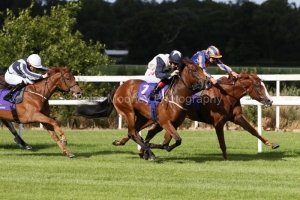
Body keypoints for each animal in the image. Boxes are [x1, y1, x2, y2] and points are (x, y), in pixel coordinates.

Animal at [77, 57, 209, 159]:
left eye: (202, 69)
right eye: (194, 70)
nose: (207, 82)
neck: (175, 95)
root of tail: (120, 87)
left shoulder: (172, 124)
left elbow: (167, 144)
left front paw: (150, 147)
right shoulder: (165, 122)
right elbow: (176, 140)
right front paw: (149, 148)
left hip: (144, 117)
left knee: (133, 131)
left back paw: (124, 144)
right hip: (128, 112)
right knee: (133, 132)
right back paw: (150, 153)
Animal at [111, 72, 280, 161]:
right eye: (258, 86)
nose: (269, 101)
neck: (225, 95)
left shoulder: (237, 117)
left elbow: (254, 131)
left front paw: (272, 144)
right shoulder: (218, 122)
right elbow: (222, 143)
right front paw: (225, 158)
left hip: (150, 118)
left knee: (144, 132)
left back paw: (138, 149)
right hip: (146, 116)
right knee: (135, 131)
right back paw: (139, 148)